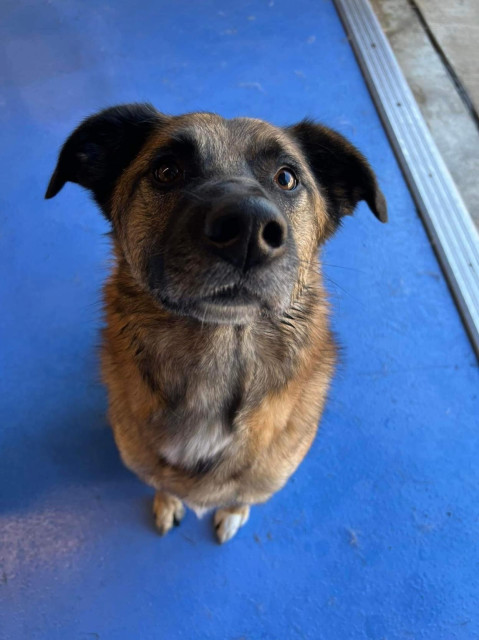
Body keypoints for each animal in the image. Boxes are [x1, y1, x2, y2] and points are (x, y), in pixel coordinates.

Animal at [47, 104, 388, 540]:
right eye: (167, 170)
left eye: (287, 177)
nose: (249, 229)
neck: (217, 359)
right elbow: (164, 483)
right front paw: (167, 501)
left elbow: (242, 495)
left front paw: (233, 511)